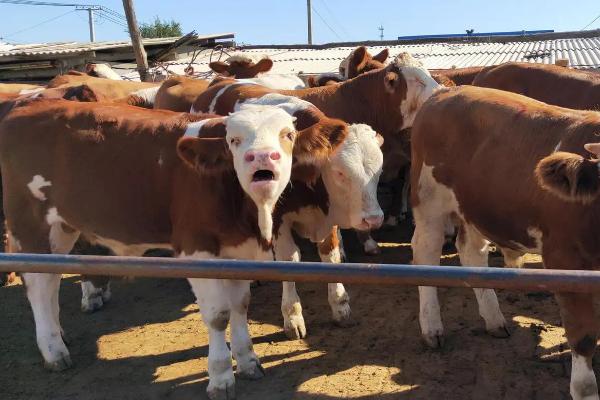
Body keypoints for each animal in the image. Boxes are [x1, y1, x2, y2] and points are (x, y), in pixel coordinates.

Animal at [2, 97, 314, 400]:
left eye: (287, 135)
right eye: (234, 140)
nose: (261, 156)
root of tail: (26, 105)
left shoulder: (237, 251)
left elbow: (239, 306)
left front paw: (248, 361)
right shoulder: (196, 249)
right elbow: (218, 316)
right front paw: (221, 376)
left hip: (62, 226)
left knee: (51, 280)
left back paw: (58, 334)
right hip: (31, 222)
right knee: (38, 285)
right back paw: (53, 350)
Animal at [410, 84, 600, 400]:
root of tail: (446, 91)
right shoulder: (565, 259)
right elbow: (583, 338)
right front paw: (584, 388)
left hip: (475, 206)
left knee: (471, 251)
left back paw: (493, 319)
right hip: (429, 200)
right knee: (426, 253)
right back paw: (432, 328)